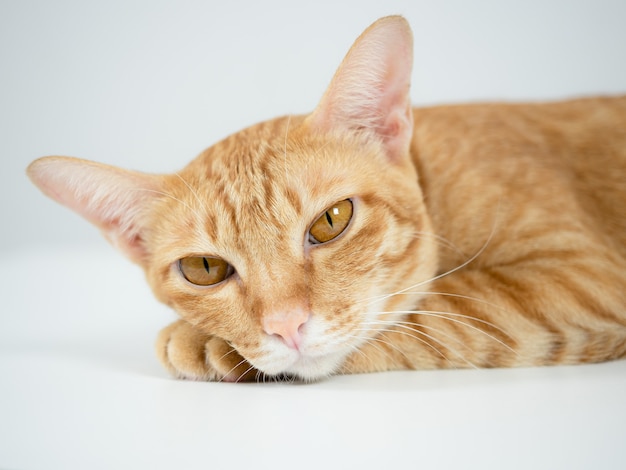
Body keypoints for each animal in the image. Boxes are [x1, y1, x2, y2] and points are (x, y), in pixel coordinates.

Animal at [26, 15, 624, 382]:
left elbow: (439, 308)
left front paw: (200, 342)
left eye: (332, 221)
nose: (286, 326)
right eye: (204, 269)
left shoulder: (584, 276)